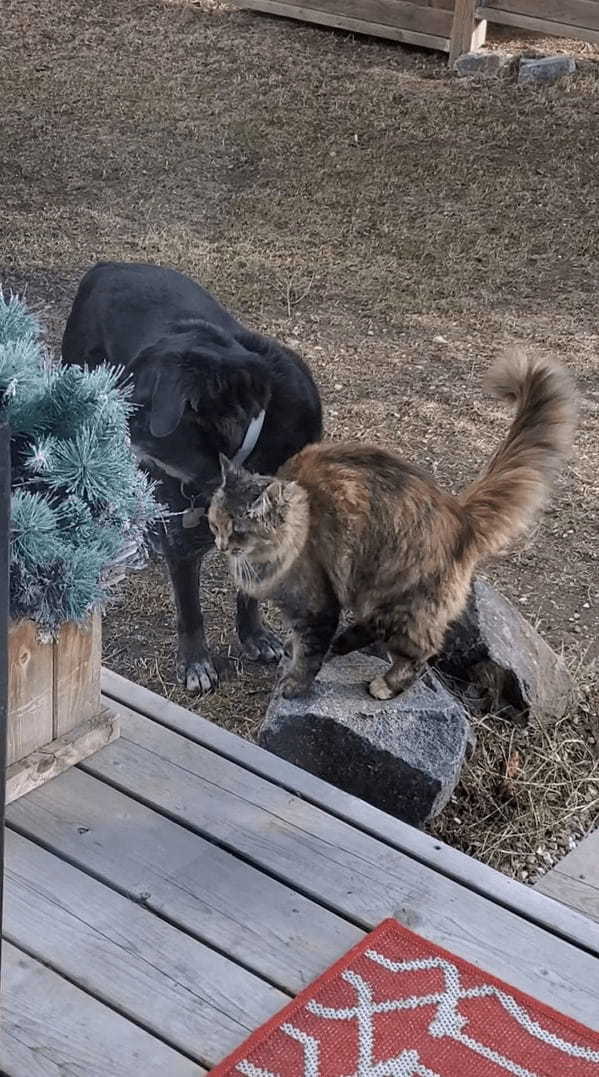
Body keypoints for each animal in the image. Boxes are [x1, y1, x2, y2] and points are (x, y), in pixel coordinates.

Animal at [61, 264, 323, 693]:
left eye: (133, 395)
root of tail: (107, 266)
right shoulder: (183, 544)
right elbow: (190, 611)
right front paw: (196, 663)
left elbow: (249, 595)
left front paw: (254, 635)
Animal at [209, 353, 577, 702]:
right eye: (215, 523)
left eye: (238, 530)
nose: (222, 546)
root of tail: (460, 515)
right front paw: (293, 650)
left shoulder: (317, 604)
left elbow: (309, 652)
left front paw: (295, 684)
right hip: (377, 596)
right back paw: (342, 645)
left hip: (401, 600)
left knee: (422, 651)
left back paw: (385, 684)